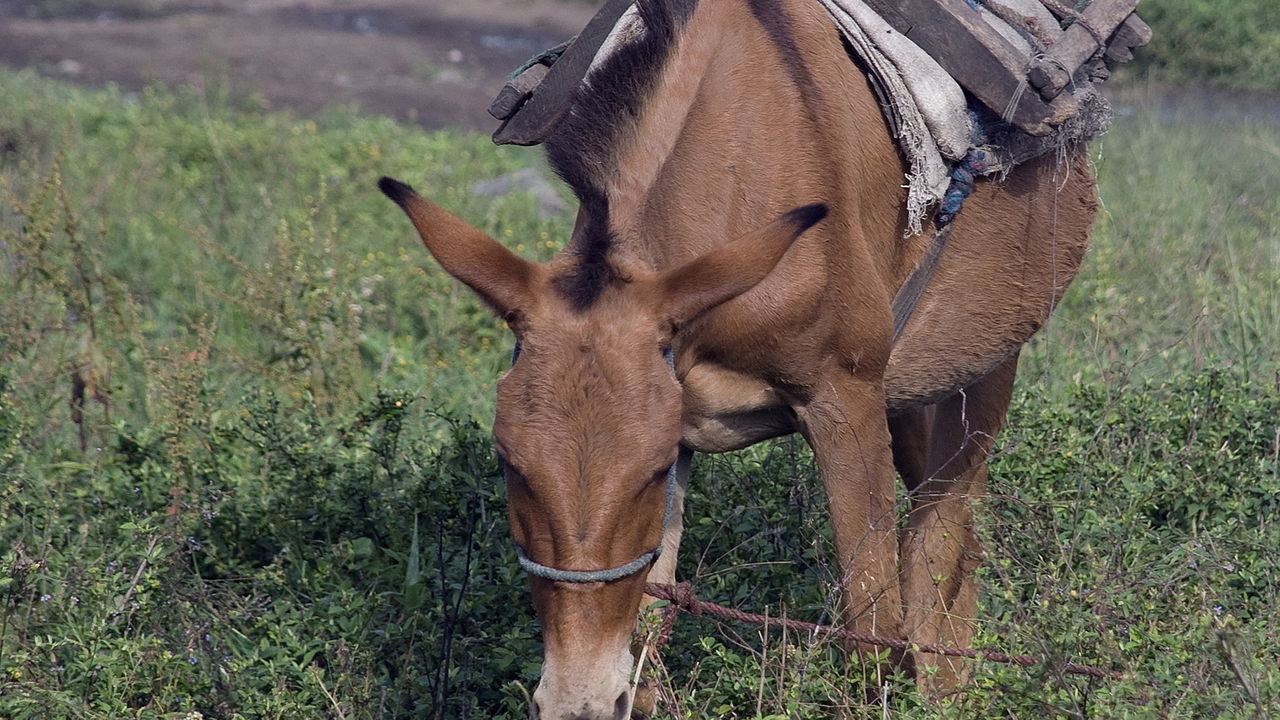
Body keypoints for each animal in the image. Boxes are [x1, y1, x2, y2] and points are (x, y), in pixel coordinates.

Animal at [379, 0, 1096, 716]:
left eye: (648, 472)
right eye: (510, 465)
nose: (576, 702)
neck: (731, 174)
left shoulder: (844, 402)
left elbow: (873, 639)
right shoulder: (686, 416)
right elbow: (645, 662)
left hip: (983, 370)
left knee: (938, 546)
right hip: (914, 387)